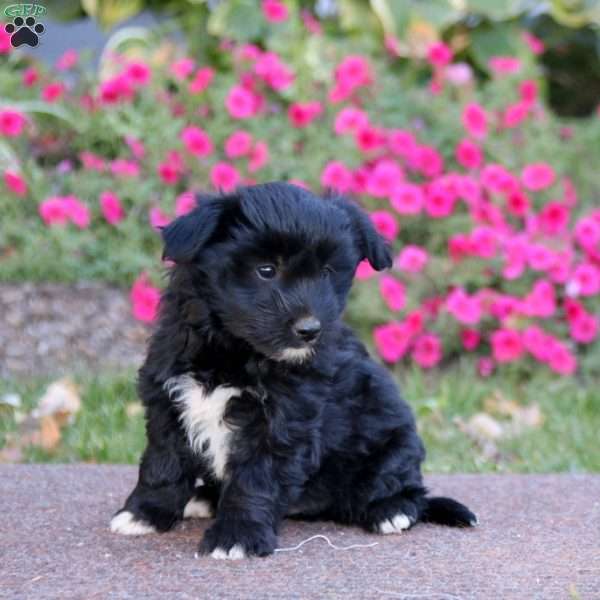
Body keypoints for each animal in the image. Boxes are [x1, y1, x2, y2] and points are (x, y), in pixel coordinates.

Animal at [108, 182, 476, 556]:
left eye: (327, 273)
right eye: (266, 270)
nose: (310, 329)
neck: (233, 350)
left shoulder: (281, 422)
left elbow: (254, 479)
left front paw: (236, 536)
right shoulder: (167, 400)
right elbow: (162, 463)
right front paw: (145, 513)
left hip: (394, 444)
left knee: (402, 487)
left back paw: (391, 510)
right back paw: (204, 498)